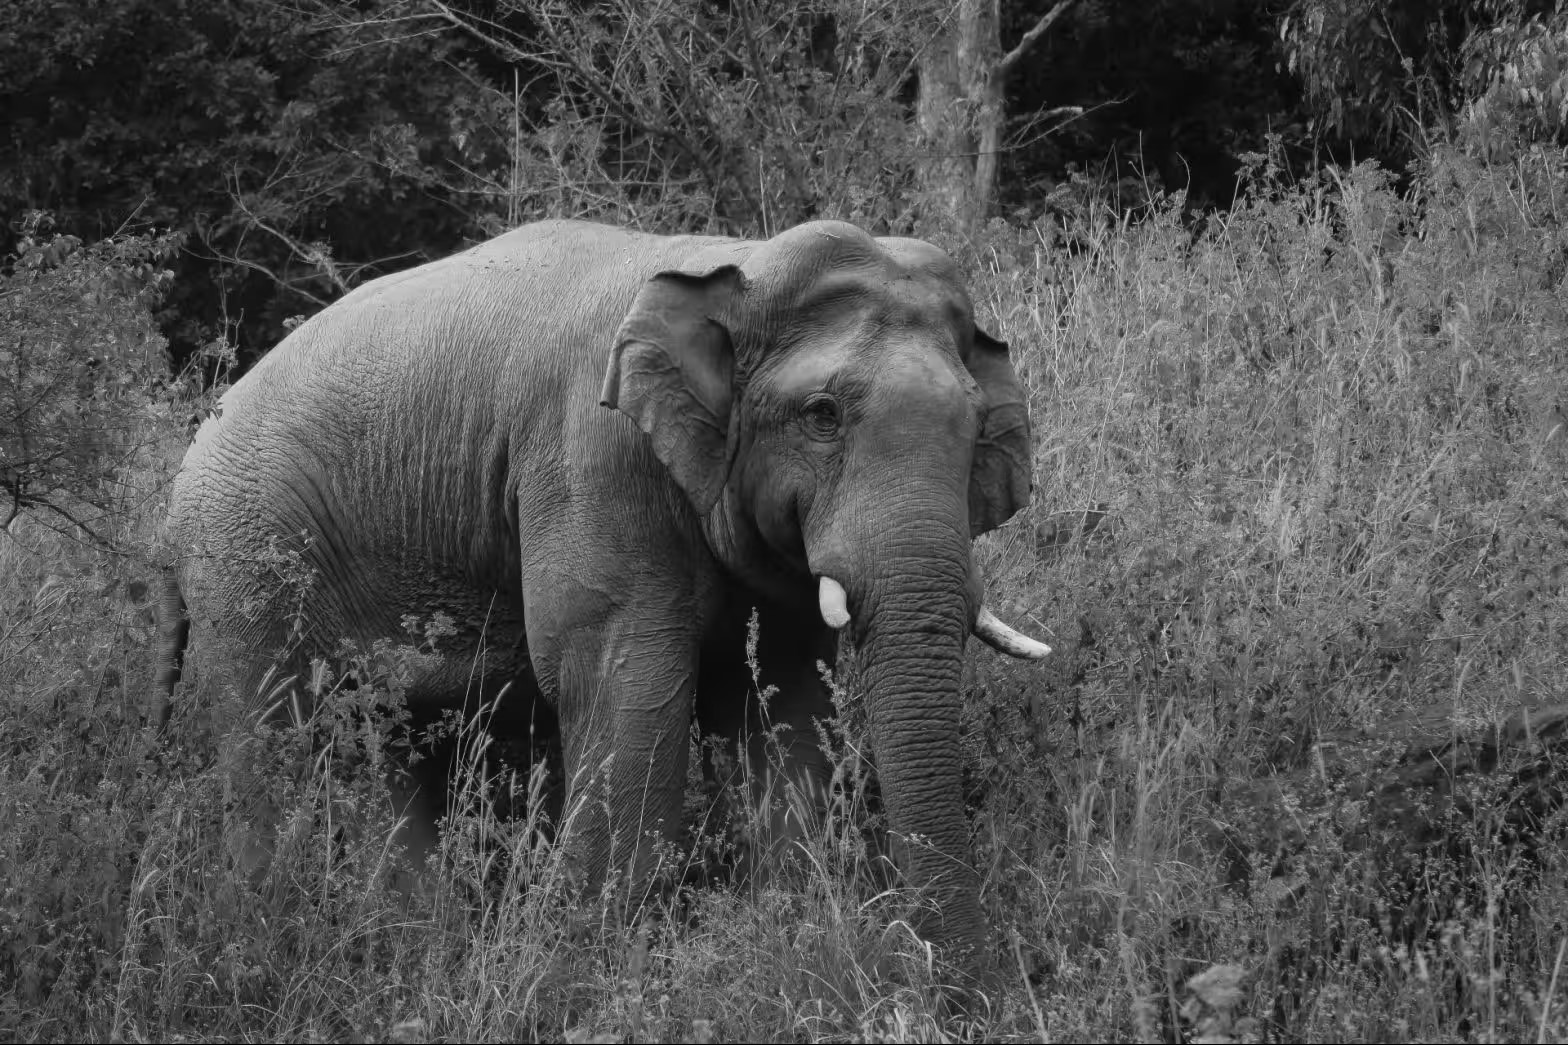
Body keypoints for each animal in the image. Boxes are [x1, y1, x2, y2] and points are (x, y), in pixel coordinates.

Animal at [155, 218, 1050, 985]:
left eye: (977, 426)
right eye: (821, 415)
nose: (961, 990)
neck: (734, 263)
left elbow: (784, 701)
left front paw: (788, 931)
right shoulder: (593, 461)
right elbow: (626, 689)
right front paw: (578, 962)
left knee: (386, 748)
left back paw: (412, 948)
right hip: (243, 558)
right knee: (272, 741)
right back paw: (265, 942)